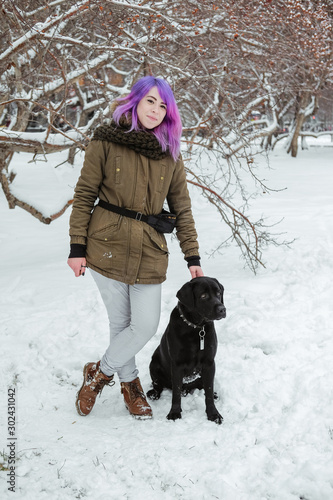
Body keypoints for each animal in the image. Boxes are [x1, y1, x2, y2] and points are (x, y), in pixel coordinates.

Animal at [147, 276, 226, 424]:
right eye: (203, 295)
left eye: (218, 293)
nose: (222, 309)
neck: (195, 328)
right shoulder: (177, 365)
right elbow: (176, 393)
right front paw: (174, 413)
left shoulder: (209, 363)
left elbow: (208, 391)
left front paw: (213, 414)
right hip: (153, 364)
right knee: (158, 385)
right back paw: (154, 394)